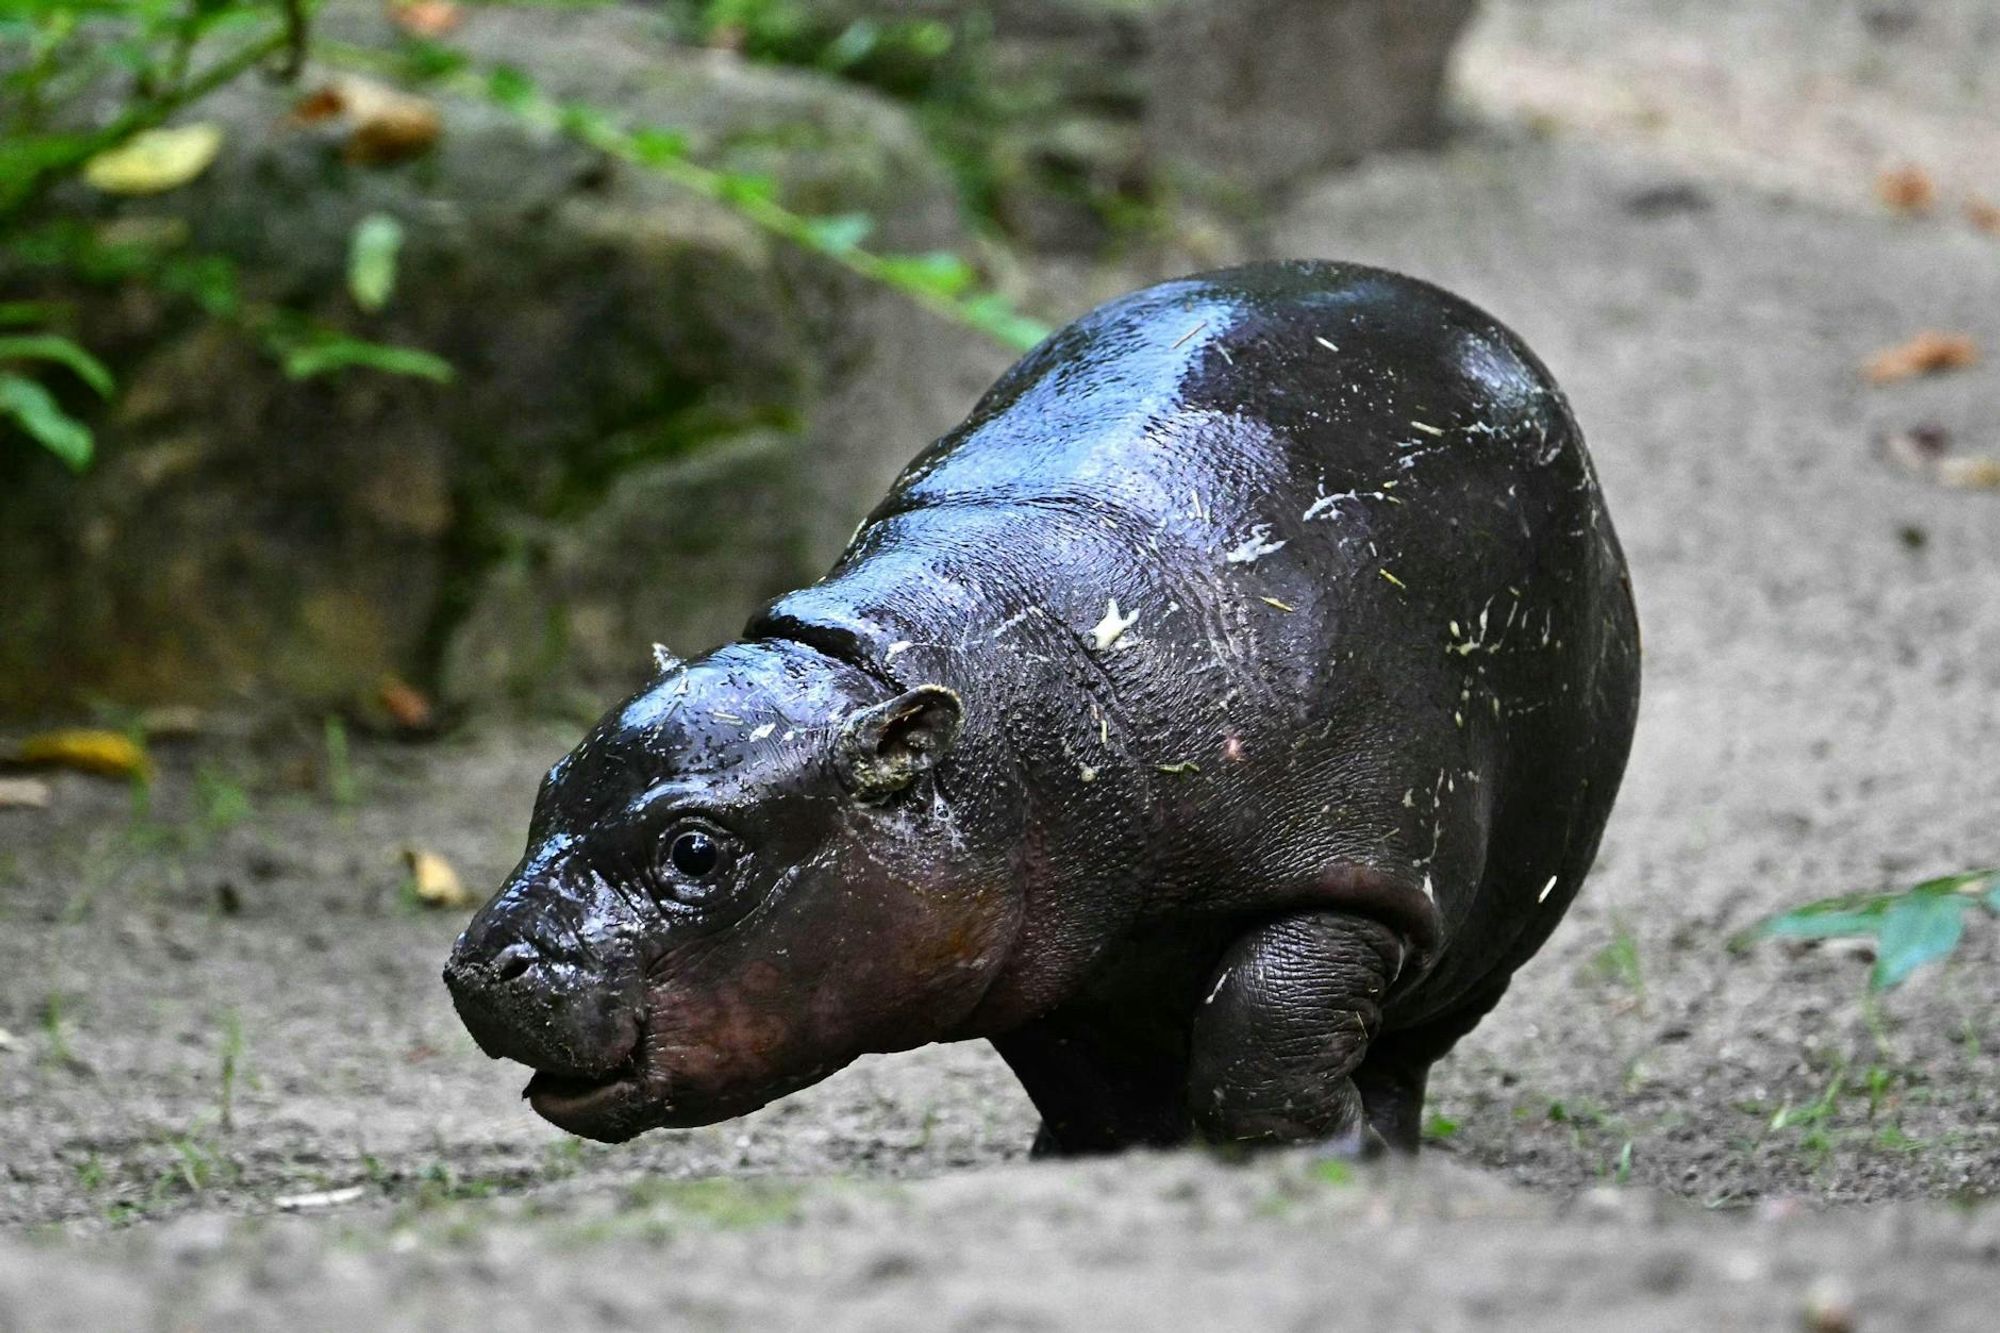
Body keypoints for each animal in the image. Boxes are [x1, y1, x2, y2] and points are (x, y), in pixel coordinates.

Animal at [450, 260, 1640, 1152]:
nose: (474, 967)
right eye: (547, 785)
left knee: (1400, 1050)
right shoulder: (1050, 956)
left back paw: (1387, 1150)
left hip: (1501, 919)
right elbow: (1088, 1086)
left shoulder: (1356, 876)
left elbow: (1263, 1028)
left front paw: (1324, 1157)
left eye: (695, 850)